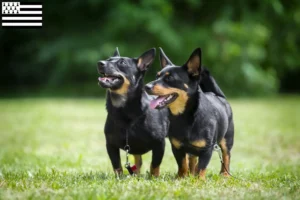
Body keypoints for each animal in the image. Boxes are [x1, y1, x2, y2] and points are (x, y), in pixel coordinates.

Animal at [96, 47, 169, 176]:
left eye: (122, 63)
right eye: (108, 59)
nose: (100, 63)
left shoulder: (159, 144)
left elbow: (154, 166)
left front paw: (154, 178)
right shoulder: (110, 145)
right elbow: (117, 166)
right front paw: (119, 178)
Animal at [145, 48, 234, 180]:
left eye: (170, 78)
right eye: (157, 76)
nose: (146, 86)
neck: (185, 117)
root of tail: (218, 95)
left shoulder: (207, 150)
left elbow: (201, 168)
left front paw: (199, 181)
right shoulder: (177, 148)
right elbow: (182, 165)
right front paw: (181, 178)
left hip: (226, 140)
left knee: (226, 156)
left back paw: (225, 174)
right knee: (192, 160)